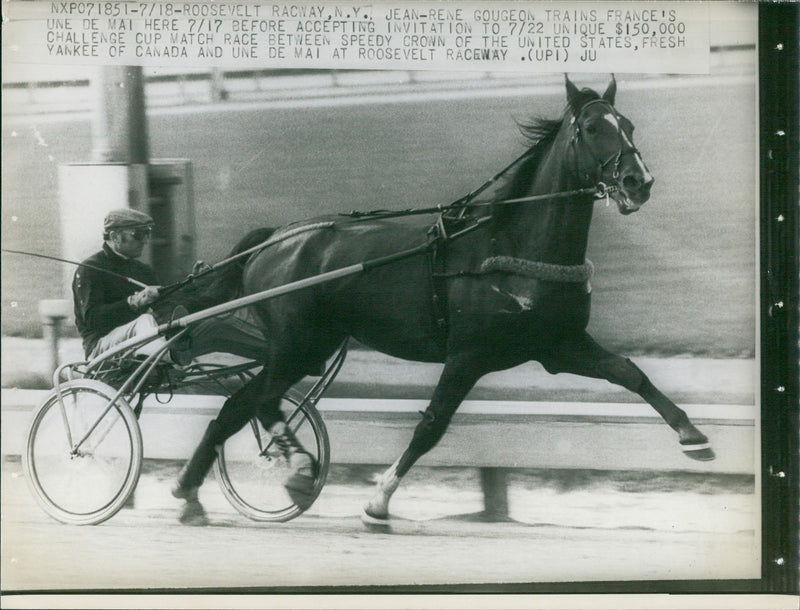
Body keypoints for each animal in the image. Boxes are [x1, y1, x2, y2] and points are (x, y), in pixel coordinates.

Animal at [156, 75, 712, 524]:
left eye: (629, 125)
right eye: (594, 128)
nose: (639, 181)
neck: (513, 244)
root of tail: (277, 236)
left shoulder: (557, 345)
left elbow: (629, 373)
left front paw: (692, 434)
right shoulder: (468, 354)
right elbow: (431, 426)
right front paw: (379, 500)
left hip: (308, 346)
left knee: (237, 406)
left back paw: (190, 492)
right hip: (298, 343)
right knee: (264, 400)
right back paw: (295, 470)